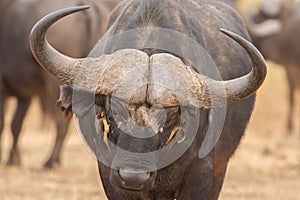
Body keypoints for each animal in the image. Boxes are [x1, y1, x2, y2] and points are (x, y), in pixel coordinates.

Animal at [0, 0, 119, 169]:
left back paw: (50, 161)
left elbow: (4, 124)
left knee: (60, 123)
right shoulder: (25, 96)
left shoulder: (4, 91)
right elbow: (16, 125)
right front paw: (13, 159)